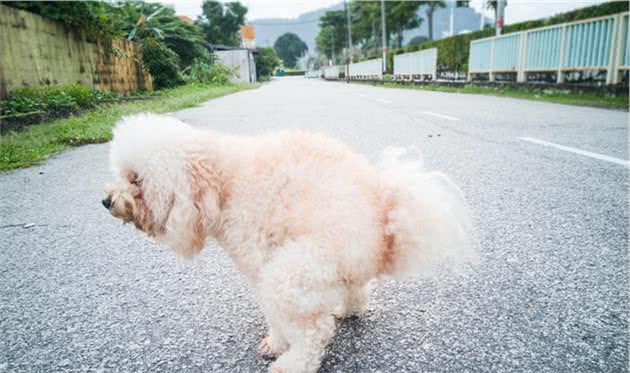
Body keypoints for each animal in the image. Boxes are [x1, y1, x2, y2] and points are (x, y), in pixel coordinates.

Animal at [103, 113, 476, 372]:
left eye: (136, 179)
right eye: (121, 174)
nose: (106, 201)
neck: (223, 184)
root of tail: (385, 227)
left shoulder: (262, 260)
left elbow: (277, 313)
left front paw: (281, 344)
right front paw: (276, 340)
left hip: (300, 266)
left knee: (316, 330)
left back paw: (294, 363)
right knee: (355, 291)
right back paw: (349, 310)